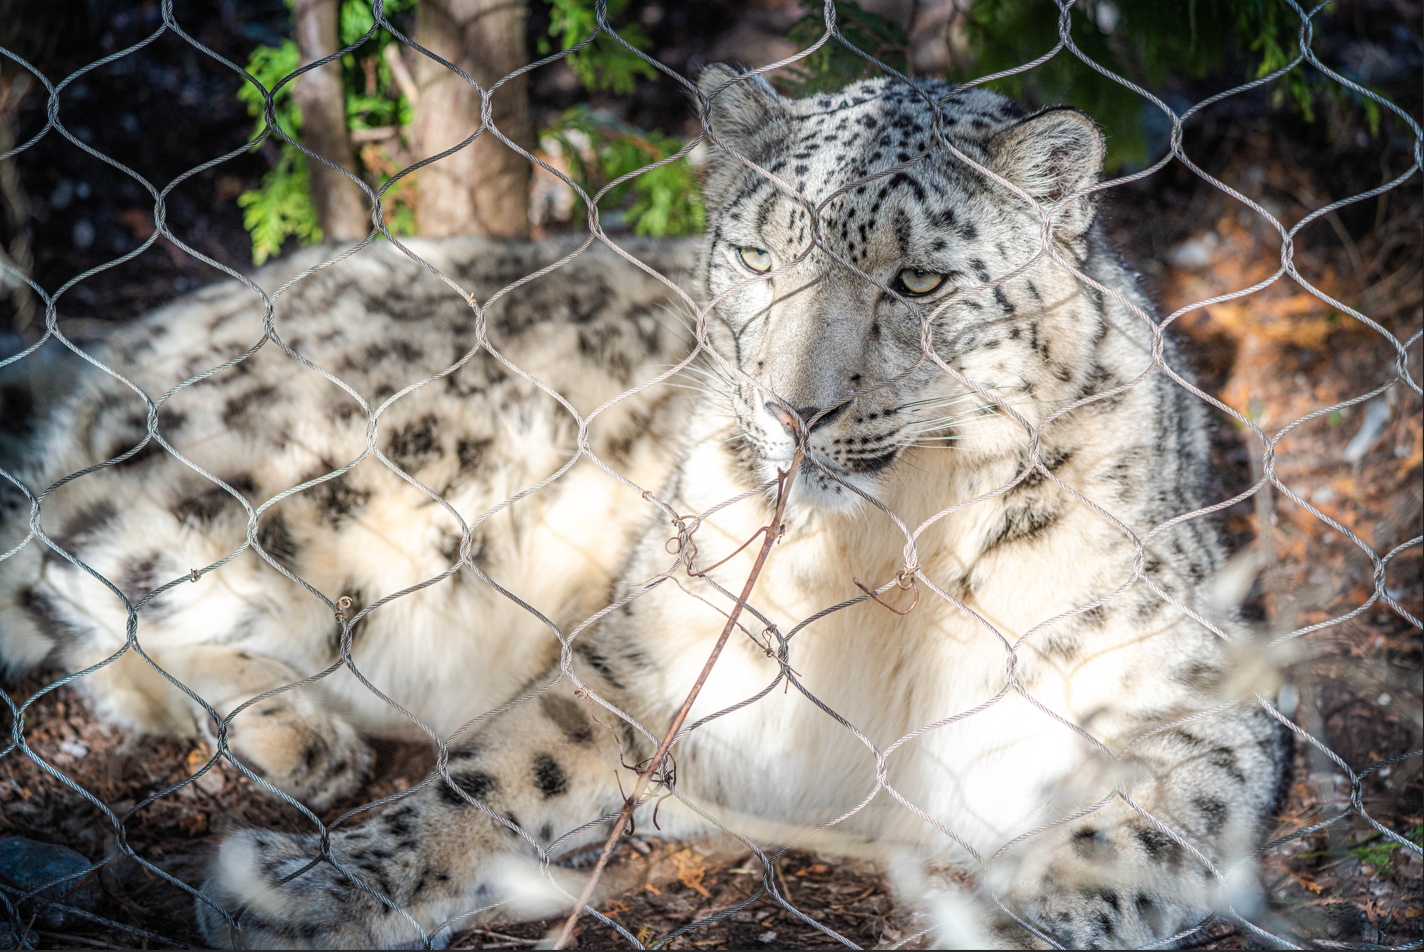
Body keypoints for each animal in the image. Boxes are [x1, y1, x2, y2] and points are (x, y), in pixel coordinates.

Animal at [0, 65, 1285, 948]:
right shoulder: (646, 663)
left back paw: (289, 733)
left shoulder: (1180, 704)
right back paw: (295, 744)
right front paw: (319, 887)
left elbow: (1122, 841)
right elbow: (495, 776)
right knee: (83, 581)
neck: (881, 571)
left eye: (917, 279)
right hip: (307, 498)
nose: (794, 410)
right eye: (762, 258)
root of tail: (139, 339)